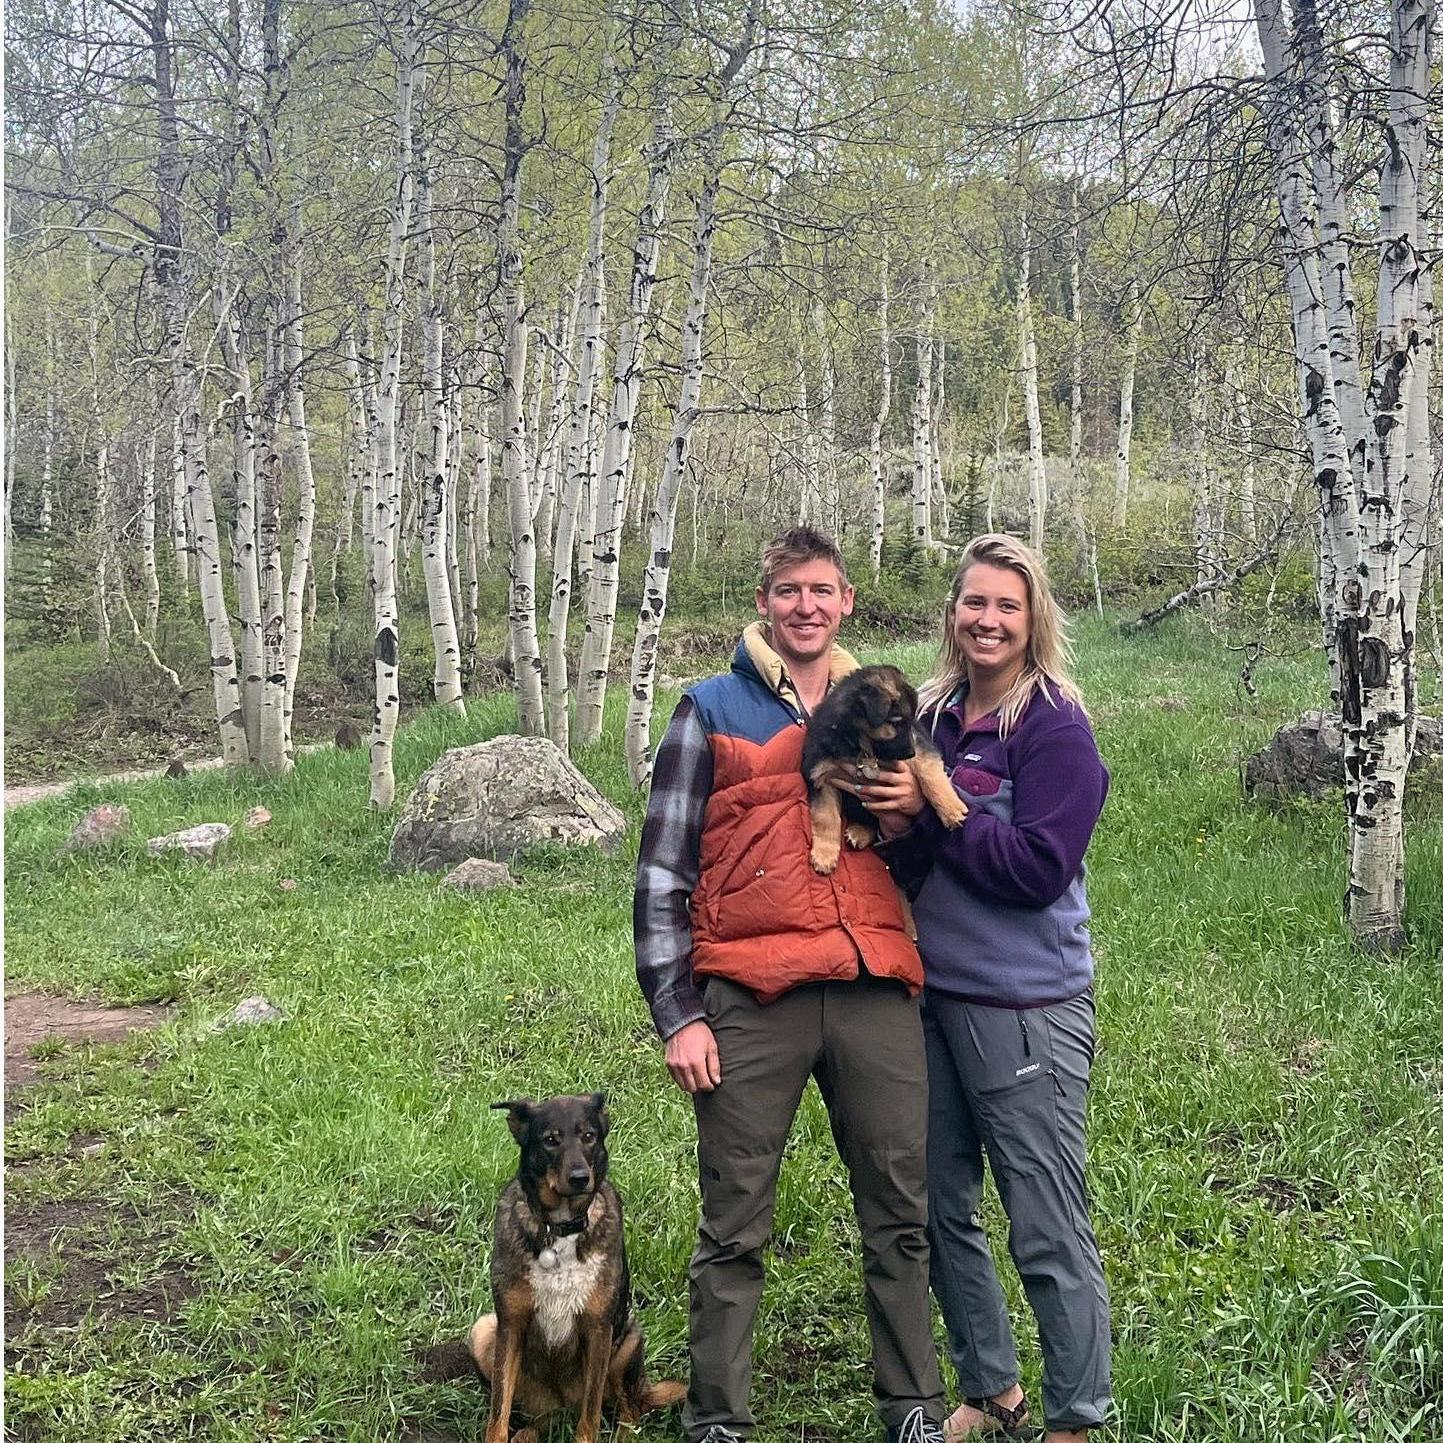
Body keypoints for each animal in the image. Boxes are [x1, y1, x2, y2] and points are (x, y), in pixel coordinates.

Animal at [453, 1090, 683, 1443]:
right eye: (550, 1140)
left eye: (588, 1136)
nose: (579, 1178)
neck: (559, 1229)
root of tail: (561, 1403)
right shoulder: (511, 1324)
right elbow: (498, 1413)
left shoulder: (599, 1329)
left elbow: (590, 1418)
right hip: (484, 1333)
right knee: (539, 1418)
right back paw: (527, 1434)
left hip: (627, 1342)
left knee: (629, 1410)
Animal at [802, 660, 969, 871]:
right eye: (896, 722)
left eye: (911, 720)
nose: (910, 753)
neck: (860, 746)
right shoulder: (820, 773)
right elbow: (825, 815)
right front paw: (824, 854)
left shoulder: (919, 742)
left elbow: (930, 773)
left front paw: (952, 810)